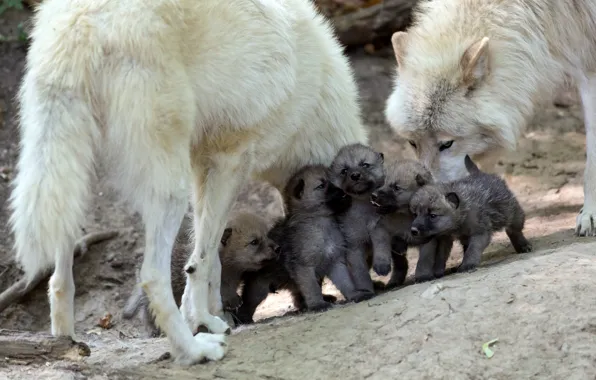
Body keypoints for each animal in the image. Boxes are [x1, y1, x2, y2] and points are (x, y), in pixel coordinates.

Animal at [8, 0, 368, 366]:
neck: (316, 96)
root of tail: (81, 21)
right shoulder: (230, 162)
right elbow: (202, 260)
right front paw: (204, 322)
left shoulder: (203, 168)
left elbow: (208, 256)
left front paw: (211, 316)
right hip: (170, 191)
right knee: (150, 276)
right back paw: (193, 351)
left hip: (74, 179)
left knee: (58, 278)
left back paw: (65, 346)